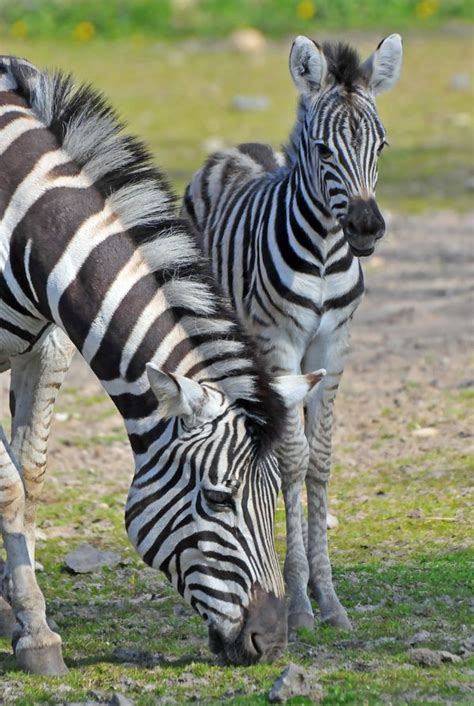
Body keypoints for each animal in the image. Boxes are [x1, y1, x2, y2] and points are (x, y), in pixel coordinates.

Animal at [0, 53, 326, 672]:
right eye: (218, 497)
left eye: (275, 494)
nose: (271, 644)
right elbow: (8, 486)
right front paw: (34, 631)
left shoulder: (47, 346)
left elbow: (28, 476)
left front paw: (27, 620)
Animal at [181, 34, 404, 628]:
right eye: (324, 151)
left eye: (381, 147)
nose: (367, 228)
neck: (326, 253)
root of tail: (242, 146)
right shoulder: (279, 343)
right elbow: (292, 459)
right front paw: (300, 601)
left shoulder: (334, 345)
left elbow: (320, 459)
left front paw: (329, 599)